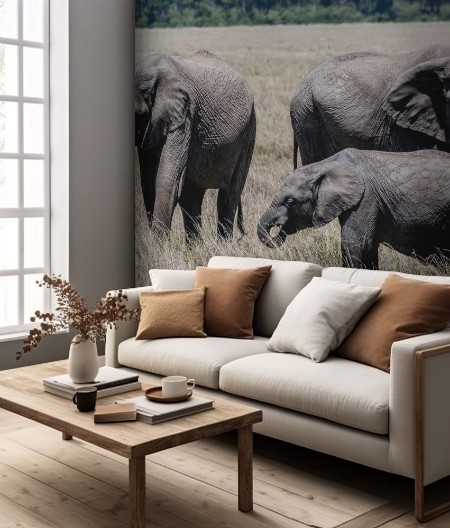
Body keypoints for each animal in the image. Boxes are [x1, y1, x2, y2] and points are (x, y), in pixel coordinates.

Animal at [134, 50, 256, 240]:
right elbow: (147, 182)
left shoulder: (184, 116)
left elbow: (166, 179)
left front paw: (157, 246)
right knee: (191, 198)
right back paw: (195, 245)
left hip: (249, 130)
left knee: (228, 196)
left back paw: (223, 244)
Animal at [256, 147, 450, 268]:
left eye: (290, 202)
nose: (278, 228)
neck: (326, 165)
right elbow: (368, 249)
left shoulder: (366, 199)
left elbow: (354, 244)